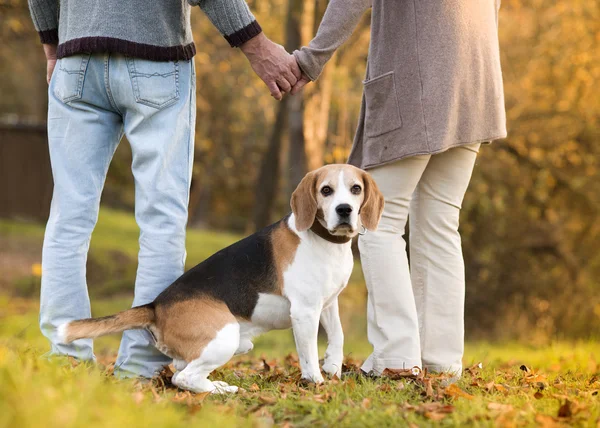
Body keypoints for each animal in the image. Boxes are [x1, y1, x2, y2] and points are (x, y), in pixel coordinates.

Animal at [57, 164, 384, 394]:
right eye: (326, 190)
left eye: (355, 188)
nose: (345, 210)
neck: (325, 241)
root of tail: (155, 305)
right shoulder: (305, 311)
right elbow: (308, 354)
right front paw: (316, 381)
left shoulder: (327, 303)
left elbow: (338, 335)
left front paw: (333, 367)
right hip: (225, 335)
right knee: (183, 377)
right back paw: (220, 391)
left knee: (182, 370)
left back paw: (217, 386)